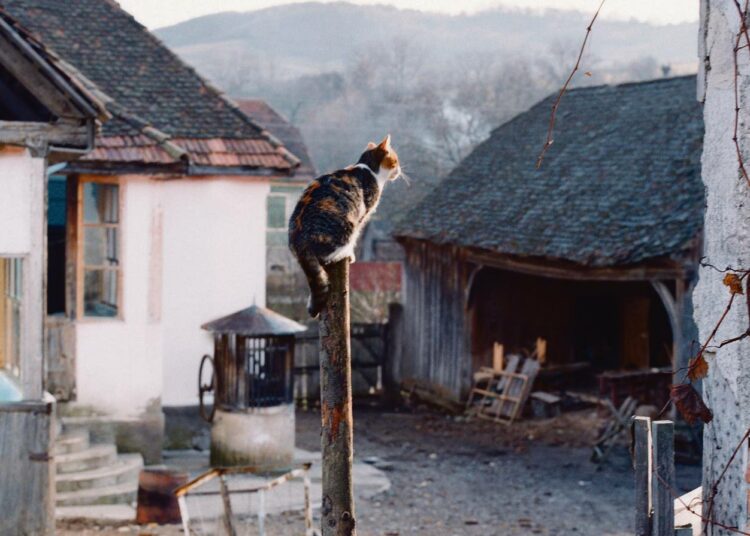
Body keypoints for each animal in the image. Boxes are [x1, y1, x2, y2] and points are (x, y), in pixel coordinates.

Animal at [290, 135, 402, 318]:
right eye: (395, 160)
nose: (399, 170)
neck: (369, 170)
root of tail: (299, 240)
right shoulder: (363, 215)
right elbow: (356, 237)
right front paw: (352, 253)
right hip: (346, 224)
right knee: (328, 254)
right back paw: (344, 254)